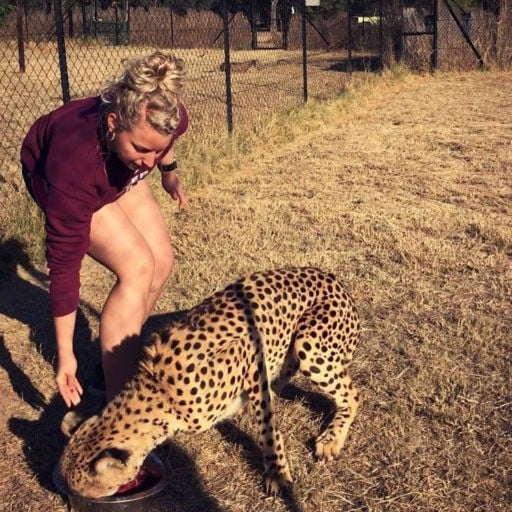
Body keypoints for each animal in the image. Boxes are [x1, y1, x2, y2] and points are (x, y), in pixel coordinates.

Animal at [59, 268, 360, 500]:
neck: (160, 394)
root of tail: (332, 278)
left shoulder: (250, 350)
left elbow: (267, 428)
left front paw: (277, 474)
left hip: (310, 345)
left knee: (353, 394)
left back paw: (331, 439)